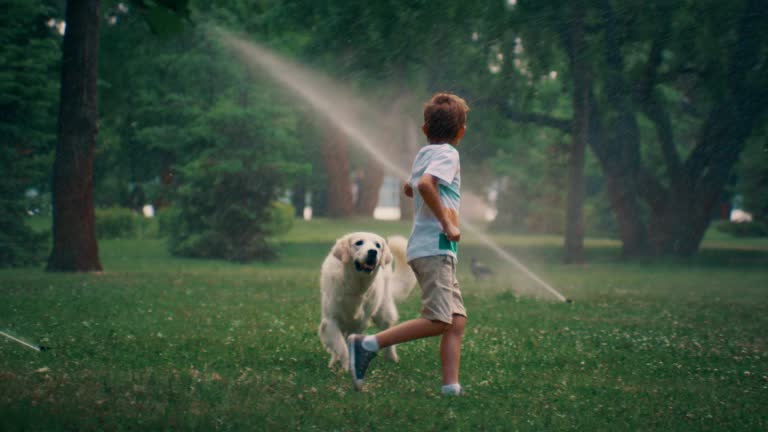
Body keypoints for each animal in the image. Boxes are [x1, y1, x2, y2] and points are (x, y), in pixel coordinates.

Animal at [318, 231, 416, 370]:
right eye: (359, 242)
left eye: (378, 245)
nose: (373, 252)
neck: (356, 286)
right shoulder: (331, 321)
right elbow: (341, 346)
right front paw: (345, 365)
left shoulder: (359, 323)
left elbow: (347, 344)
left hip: (382, 311)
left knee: (388, 328)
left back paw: (391, 358)